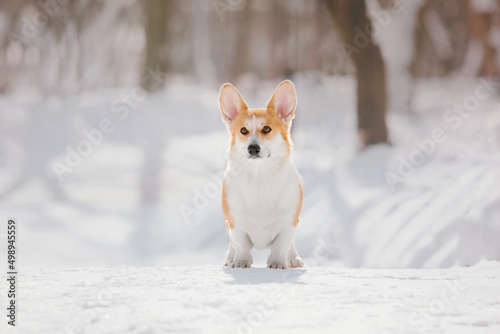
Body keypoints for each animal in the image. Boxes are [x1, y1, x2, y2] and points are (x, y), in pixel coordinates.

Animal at [218, 80, 302, 268]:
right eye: (243, 130)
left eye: (267, 129)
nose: (253, 148)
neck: (259, 176)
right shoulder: (235, 222)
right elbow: (241, 245)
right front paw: (240, 262)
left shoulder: (288, 222)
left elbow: (280, 246)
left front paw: (277, 263)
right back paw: (230, 259)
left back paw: (294, 259)